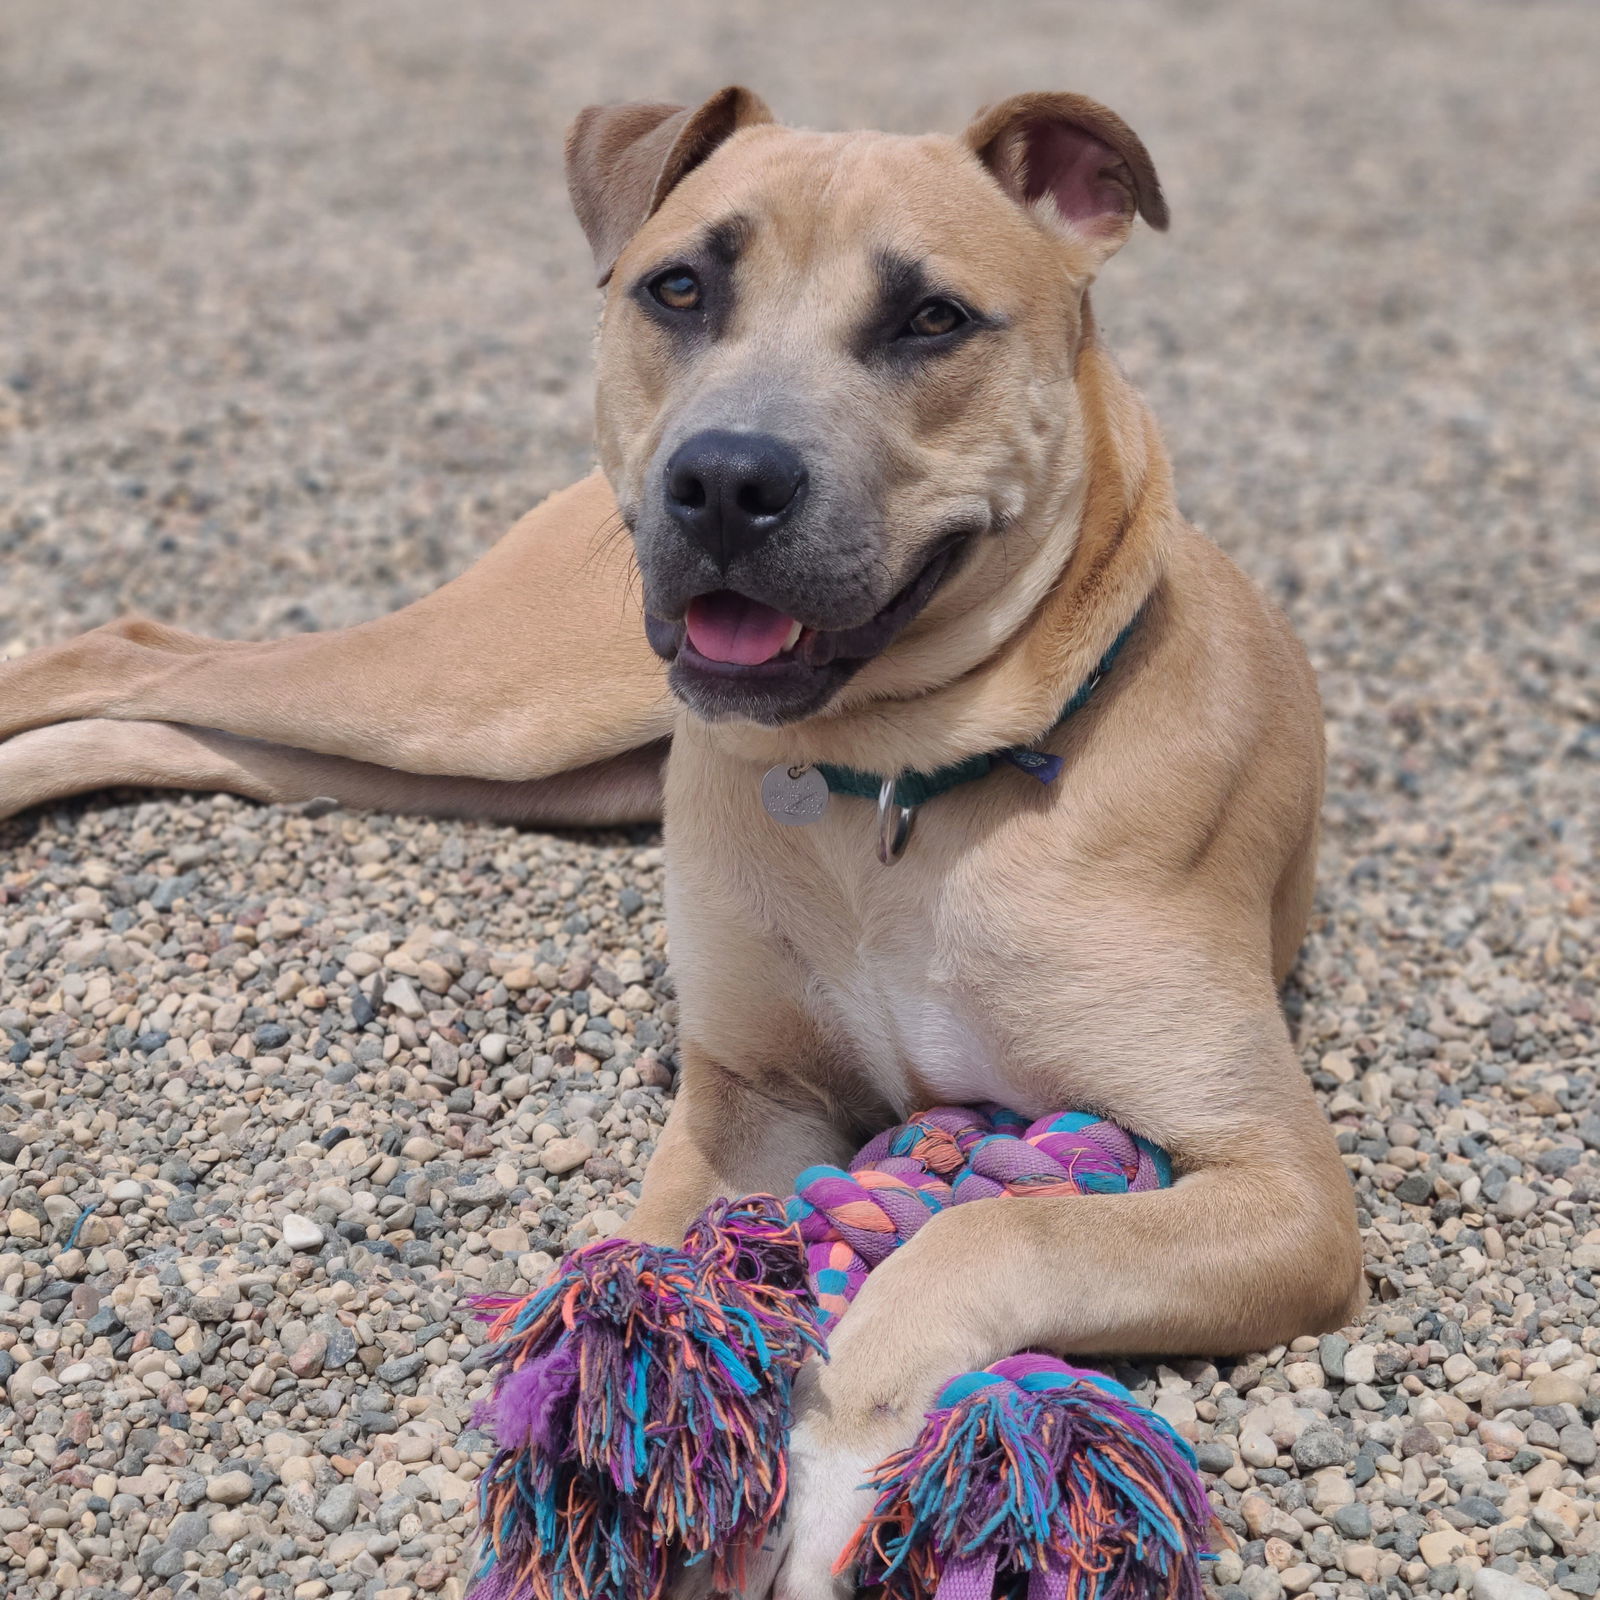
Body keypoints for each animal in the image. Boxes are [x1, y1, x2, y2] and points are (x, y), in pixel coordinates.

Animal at [6, 90, 1369, 1600]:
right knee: (129, 648)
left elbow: (996, 1223)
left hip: (519, 764)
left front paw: (832, 1465)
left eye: (932, 320)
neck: (889, 791)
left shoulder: (1284, 1193)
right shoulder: (749, 1093)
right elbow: (661, 1281)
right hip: (490, 701)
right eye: (678, 289)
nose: (721, 478)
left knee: (173, 706)